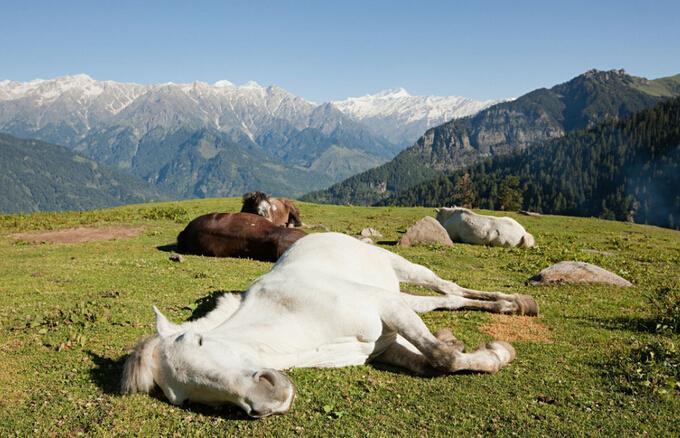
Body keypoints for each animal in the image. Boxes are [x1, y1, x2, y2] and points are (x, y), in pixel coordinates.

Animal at [121, 233, 536, 418]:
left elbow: (441, 358)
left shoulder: (385, 306)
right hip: (402, 294)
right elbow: (433, 360)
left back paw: (517, 303)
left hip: (403, 268)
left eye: (199, 341)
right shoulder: (387, 344)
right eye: (185, 398)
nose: (268, 400)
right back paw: (506, 308)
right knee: (445, 300)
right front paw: (489, 352)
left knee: (447, 287)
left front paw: (493, 351)